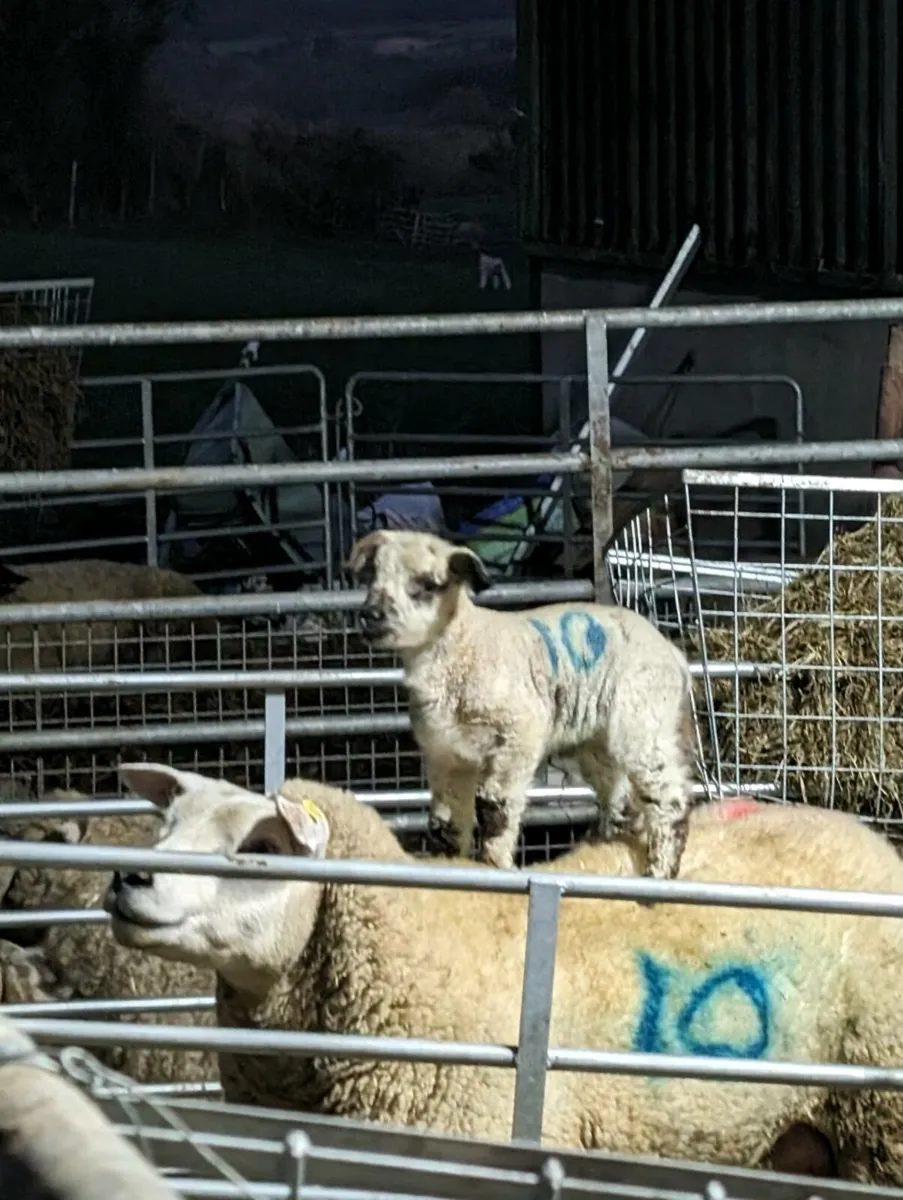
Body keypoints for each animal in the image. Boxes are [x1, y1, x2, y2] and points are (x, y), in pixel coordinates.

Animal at [346, 529, 695, 878]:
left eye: (428, 584)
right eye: (373, 576)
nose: (369, 616)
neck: (464, 645)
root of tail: (673, 653)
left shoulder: (519, 735)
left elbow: (494, 807)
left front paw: (496, 863)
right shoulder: (446, 755)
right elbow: (446, 821)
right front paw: (447, 864)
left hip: (642, 717)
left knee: (668, 797)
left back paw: (660, 871)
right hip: (598, 740)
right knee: (619, 794)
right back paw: (607, 842)